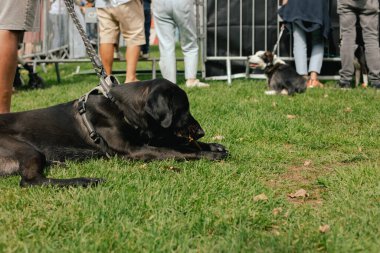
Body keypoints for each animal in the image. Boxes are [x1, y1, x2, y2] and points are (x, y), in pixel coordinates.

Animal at [0, 79, 227, 188]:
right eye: (183, 109)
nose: (201, 132)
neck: (120, 108)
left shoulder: (148, 137)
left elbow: (178, 143)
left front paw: (214, 146)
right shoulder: (134, 150)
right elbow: (176, 152)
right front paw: (209, 154)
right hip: (28, 150)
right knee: (29, 181)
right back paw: (85, 181)